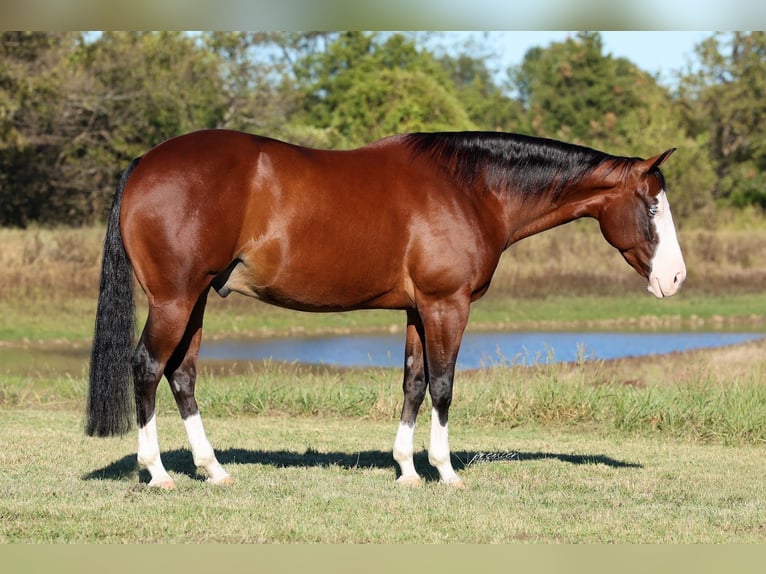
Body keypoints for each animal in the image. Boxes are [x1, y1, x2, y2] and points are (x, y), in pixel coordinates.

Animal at [86, 129, 686, 489]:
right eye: (652, 204)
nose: (675, 278)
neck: (470, 189)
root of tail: (144, 163)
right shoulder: (448, 306)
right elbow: (443, 384)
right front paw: (446, 472)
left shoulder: (420, 311)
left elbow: (413, 382)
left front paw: (407, 471)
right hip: (174, 299)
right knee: (148, 368)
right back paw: (157, 473)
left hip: (195, 301)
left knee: (181, 375)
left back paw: (213, 469)